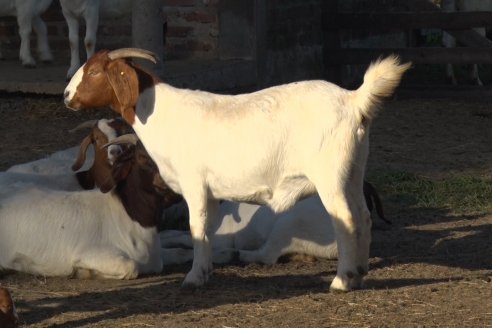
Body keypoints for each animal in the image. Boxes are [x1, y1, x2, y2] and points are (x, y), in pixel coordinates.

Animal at [64, 47, 412, 290]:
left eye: (94, 72)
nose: (67, 96)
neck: (160, 114)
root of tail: (354, 100)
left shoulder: (194, 183)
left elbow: (197, 227)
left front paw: (194, 277)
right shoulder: (212, 193)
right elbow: (206, 231)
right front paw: (205, 271)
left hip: (330, 175)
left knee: (346, 221)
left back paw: (342, 281)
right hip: (353, 171)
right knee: (364, 217)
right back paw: (361, 274)